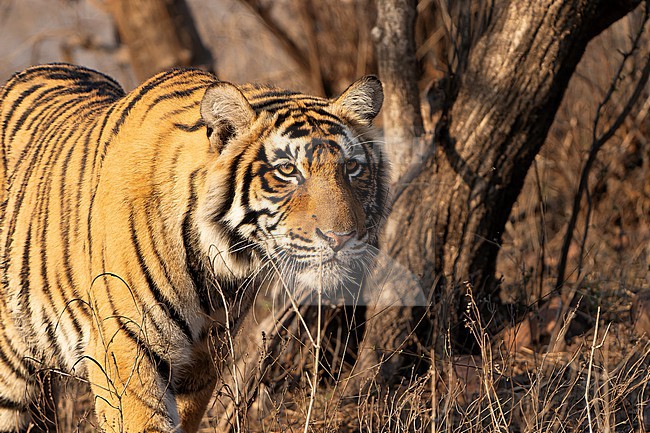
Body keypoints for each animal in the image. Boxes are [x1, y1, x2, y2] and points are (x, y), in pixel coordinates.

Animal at [0, 63, 386, 433]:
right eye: (288, 170)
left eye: (352, 167)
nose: (342, 237)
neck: (219, 265)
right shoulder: (125, 349)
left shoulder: (203, 358)